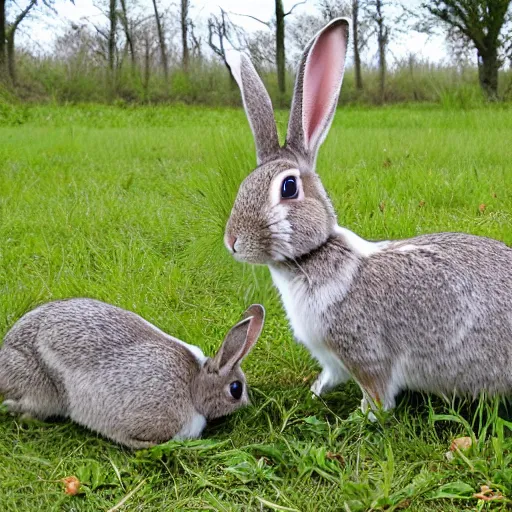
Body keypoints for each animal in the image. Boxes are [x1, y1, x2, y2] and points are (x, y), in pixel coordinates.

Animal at [224, 18, 512, 416]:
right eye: (244, 184)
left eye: (288, 188)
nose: (232, 242)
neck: (315, 255)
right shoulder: (332, 359)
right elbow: (328, 377)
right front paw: (315, 392)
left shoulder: (363, 352)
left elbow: (377, 393)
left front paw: (362, 416)